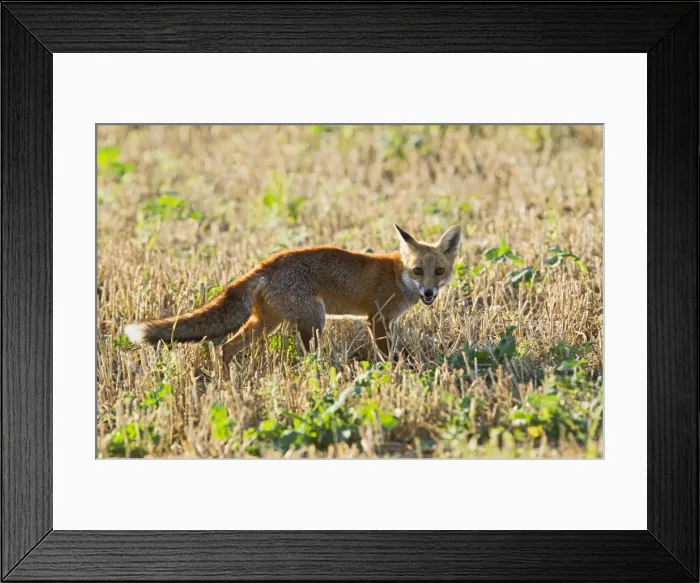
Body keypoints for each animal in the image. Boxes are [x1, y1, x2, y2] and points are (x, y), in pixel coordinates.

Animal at [125, 224, 462, 364]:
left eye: (438, 271)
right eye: (418, 271)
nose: (429, 292)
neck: (396, 275)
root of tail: (265, 264)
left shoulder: (386, 321)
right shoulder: (377, 319)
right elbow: (387, 354)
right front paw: (394, 372)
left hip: (268, 323)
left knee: (227, 348)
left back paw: (228, 384)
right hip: (314, 320)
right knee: (305, 357)